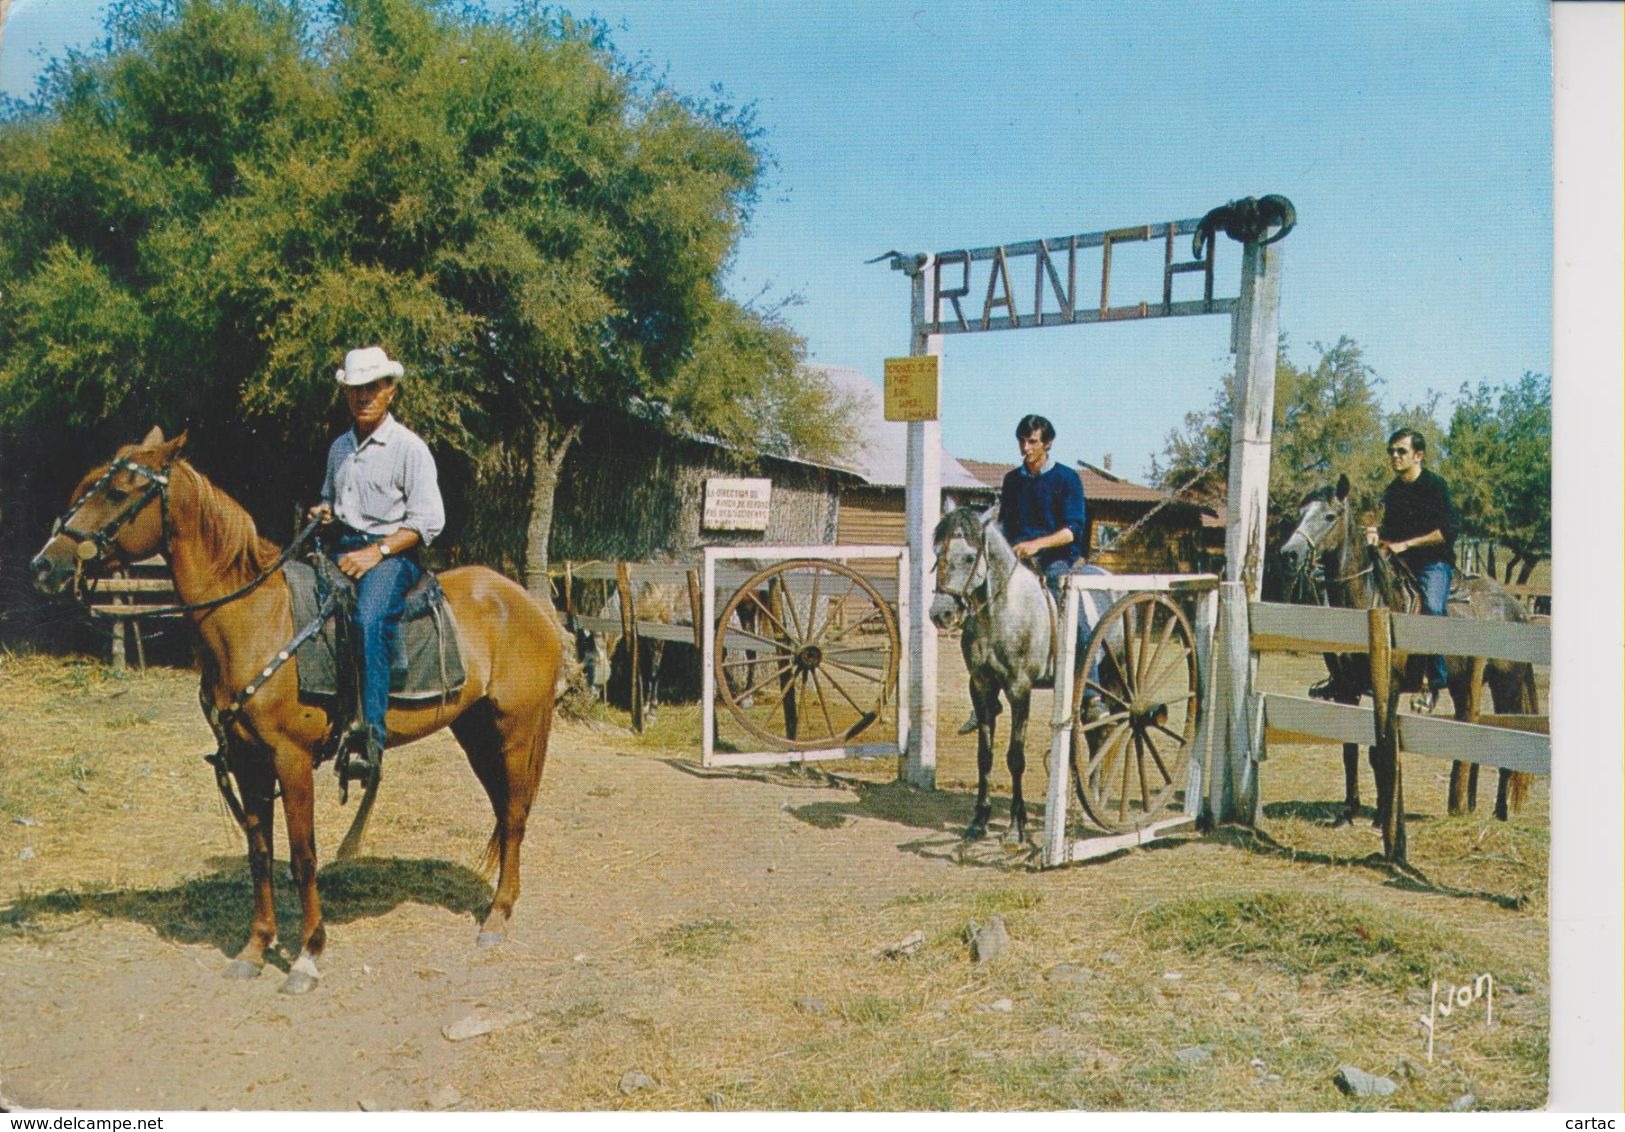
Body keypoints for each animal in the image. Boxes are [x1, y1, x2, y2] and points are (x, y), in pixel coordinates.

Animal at [30, 428, 565, 993]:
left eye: (118, 491)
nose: (45, 564)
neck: (254, 618)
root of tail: (528, 602)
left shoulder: (292, 760)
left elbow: (303, 856)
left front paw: (307, 955)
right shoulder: (248, 760)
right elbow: (260, 853)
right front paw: (255, 947)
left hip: (516, 731)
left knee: (514, 815)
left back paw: (497, 918)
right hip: (476, 732)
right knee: (504, 811)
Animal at [1280, 470, 1534, 825]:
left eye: (1329, 516)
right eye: (1300, 513)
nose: (1289, 554)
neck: (1369, 603)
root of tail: (1516, 608)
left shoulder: (1390, 689)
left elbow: (1379, 753)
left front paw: (1381, 815)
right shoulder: (1346, 689)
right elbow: (1350, 750)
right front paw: (1348, 810)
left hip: (1506, 686)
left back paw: (1499, 813)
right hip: (1463, 686)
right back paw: (1467, 805)